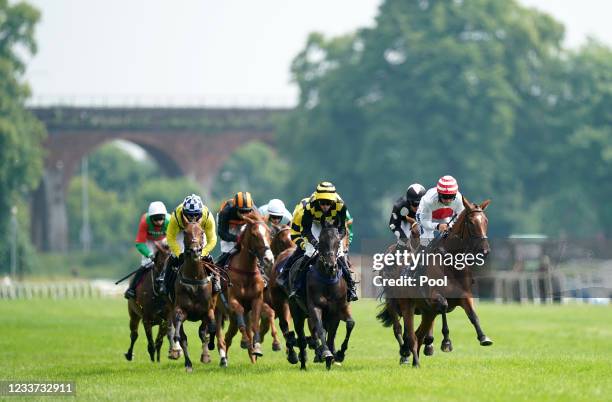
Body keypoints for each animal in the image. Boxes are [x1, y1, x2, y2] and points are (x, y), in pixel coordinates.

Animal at [167, 221, 218, 372]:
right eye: (185, 232)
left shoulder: (208, 310)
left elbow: (210, 329)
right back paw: (188, 363)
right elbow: (180, 332)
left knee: (203, 331)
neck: (194, 277)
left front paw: (209, 348)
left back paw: (206, 354)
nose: (195, 251)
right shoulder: (179, 309)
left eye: (202, 232)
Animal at [290, 225, 354, 370]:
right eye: (321, 242)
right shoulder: (315, 307)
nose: (331, 266)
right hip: (296, 312)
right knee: (301, 337)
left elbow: (338, 330)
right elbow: (320, 330)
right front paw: (326, 353)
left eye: (337, 242)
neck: (327, 278)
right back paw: (303, 364)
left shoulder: (337, 310)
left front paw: (335, 357)